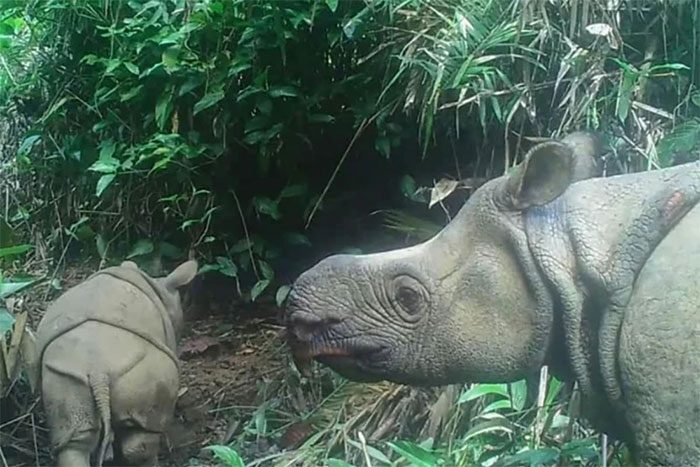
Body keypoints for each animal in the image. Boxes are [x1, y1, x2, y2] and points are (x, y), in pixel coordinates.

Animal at [37, 260, 198, 467]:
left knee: (75, 442)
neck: (160, 287)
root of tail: (97, 371)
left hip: (64, 376)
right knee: (142, 435)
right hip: (140, 373)